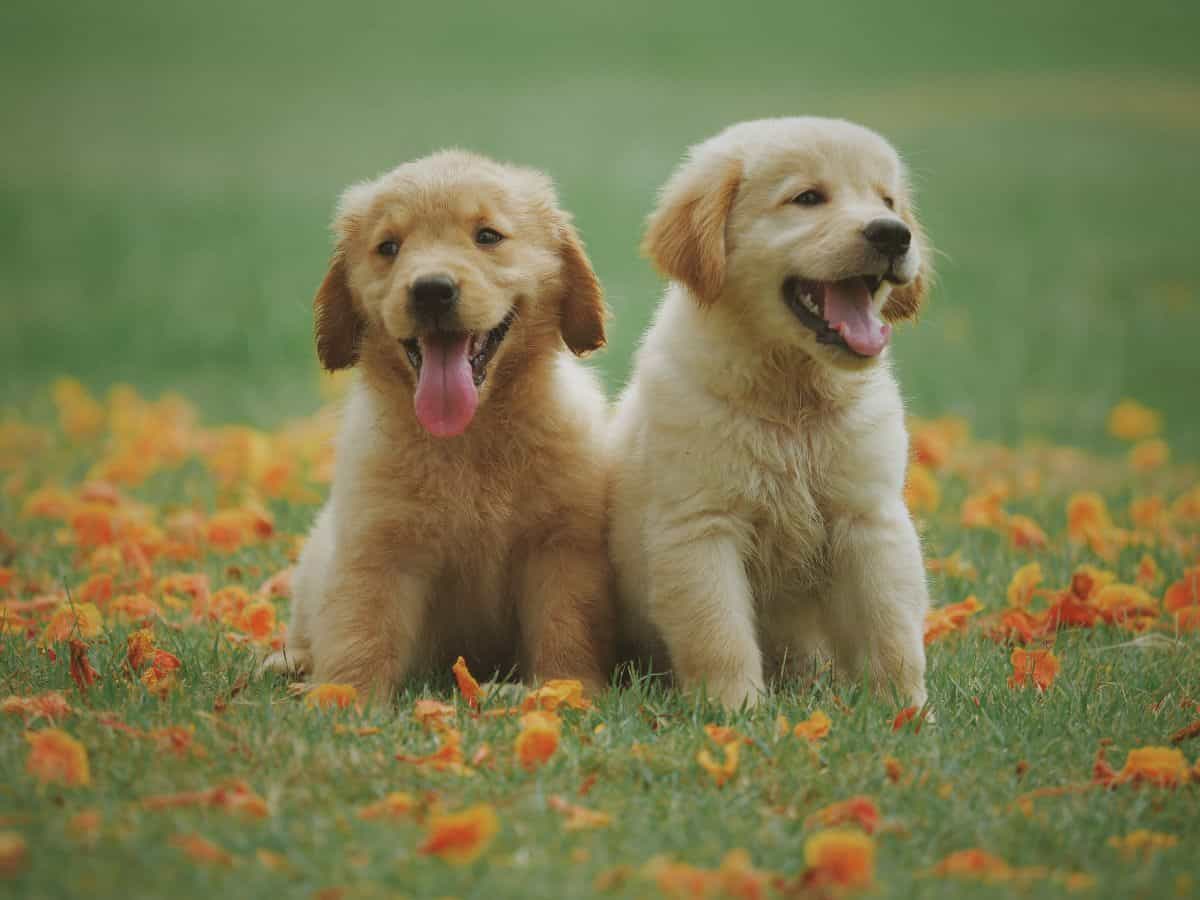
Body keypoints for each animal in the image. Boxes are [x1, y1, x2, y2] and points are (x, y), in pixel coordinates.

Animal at [266, 151, 614, 700]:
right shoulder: (377, 545)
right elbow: (360, 628)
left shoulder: (561, 545)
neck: (468, 438)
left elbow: (566, 625)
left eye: (488, 236)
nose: (431, 291)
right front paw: (343, 698)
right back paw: (289, 663)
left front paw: (565, 688)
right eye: (389, 247)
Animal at [614, 118, 931, 710]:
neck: (791, 398)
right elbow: (719, 633)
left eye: (887, 200)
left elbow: (891, 627)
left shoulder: (869, 518)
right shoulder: (701, 526)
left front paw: (907, 711)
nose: (893, 234)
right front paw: (734, 711)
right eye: (807, 198)